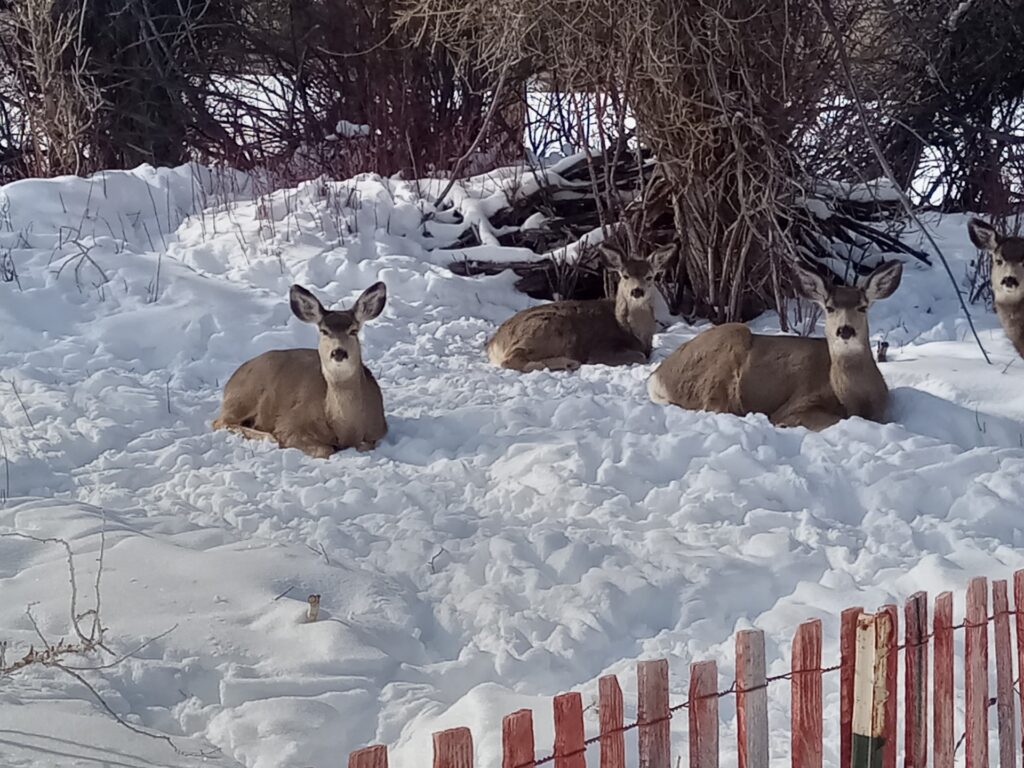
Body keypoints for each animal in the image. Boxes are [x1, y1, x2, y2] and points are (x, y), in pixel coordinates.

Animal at [212, 282, 388, 458]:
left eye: (353, 331)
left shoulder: (379, 430)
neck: (346, 429)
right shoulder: (290, 423)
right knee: (220, 421)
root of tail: (231, 381)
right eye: (324, 331)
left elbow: (366, 445)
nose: (338, 352)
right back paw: (268, 436)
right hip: (245, 396)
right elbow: (325, 449)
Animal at [486, 241, 678, 371]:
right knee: (510, 359)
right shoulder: (602, 348)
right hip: (548, 328)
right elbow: (639, 356)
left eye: (650, 276)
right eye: (625, 275)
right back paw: (566, 362)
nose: (637, 291)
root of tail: (495, 342)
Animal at [646, 260, 904, 431]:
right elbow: (830, 419)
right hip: (729, 346)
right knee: (715, 405)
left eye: (863, 307)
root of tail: (657, 376)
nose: (845, 330)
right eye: (829, 307)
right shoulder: (799, 402)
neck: (858, 400)